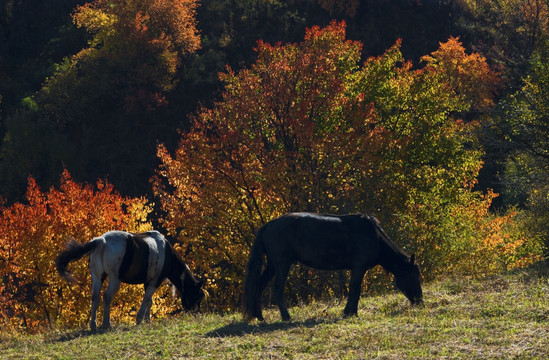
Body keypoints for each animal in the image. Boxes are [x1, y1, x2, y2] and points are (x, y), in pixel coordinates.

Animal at [56, 231, 206, 330]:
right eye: (197, 296)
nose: (196, 314)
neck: (166, 252)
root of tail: (101, 240)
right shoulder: (154, 281)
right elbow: (147, 299)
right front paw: (140, 319)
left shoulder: (148, 282)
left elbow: (150, 301)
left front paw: (147, 319)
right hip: (115, 279)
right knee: (107, 296)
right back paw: (107, 324)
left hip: (98, 276)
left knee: (95, 297)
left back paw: (93, 325)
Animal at [242, 212, 422, 322]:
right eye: (415, 276)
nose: (420, 301)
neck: (375, 237)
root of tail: (268, 225)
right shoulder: (359, 268)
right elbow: (355, 289)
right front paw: (351, 312)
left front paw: (350, 312)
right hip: (282, 264)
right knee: (277, 287)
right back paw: (286, 317)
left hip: (272, 265)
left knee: (260, 284)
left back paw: (260, 317)